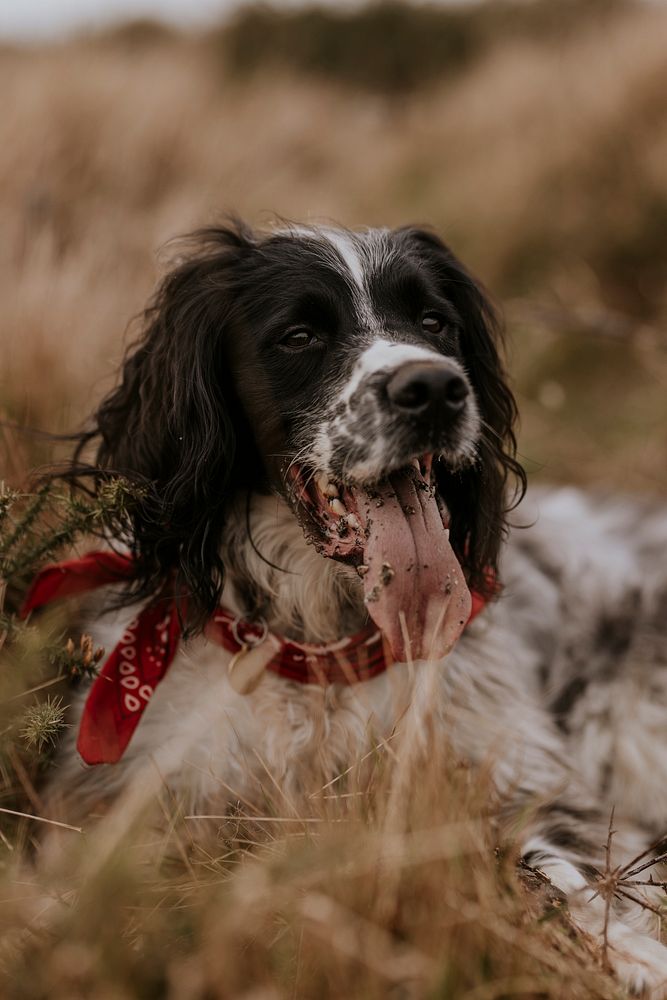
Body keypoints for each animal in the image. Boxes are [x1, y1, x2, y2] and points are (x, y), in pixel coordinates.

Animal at [35, 223, 667, 996]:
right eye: (300, 335)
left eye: (433, 322)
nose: (433, 388)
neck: (322, 656)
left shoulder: (523, 778)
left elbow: (556, 862)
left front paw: (630, 952)